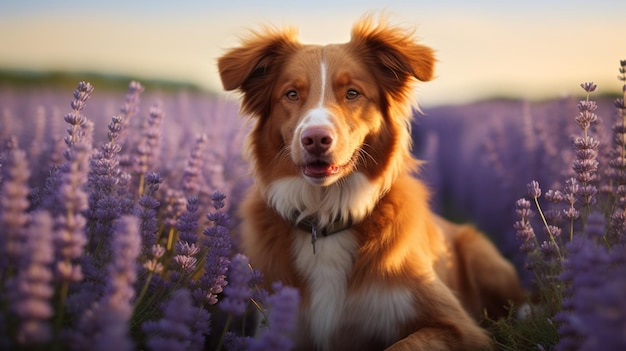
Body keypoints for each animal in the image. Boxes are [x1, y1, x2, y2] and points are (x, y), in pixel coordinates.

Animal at [217, 14, 524, 351]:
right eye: (291, 94)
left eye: (353, 93)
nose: (315, 139)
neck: (324, 218)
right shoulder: (277, 326)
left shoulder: (459, 328)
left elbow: (400, 345)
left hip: (480, 253)